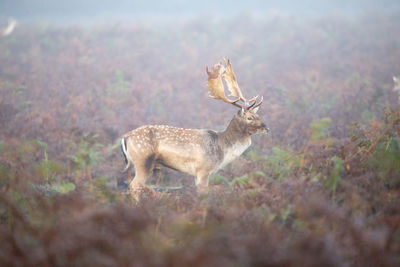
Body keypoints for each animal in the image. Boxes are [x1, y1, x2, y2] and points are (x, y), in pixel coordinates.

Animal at [119, 59, 268, 201]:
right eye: (249, 117)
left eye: (258, 115)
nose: (266, 127)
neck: (222, 147)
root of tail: (125, 137)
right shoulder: (203, 169)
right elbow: (203, 195)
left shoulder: (196, 173)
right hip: (143, 160)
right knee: (135, 185)